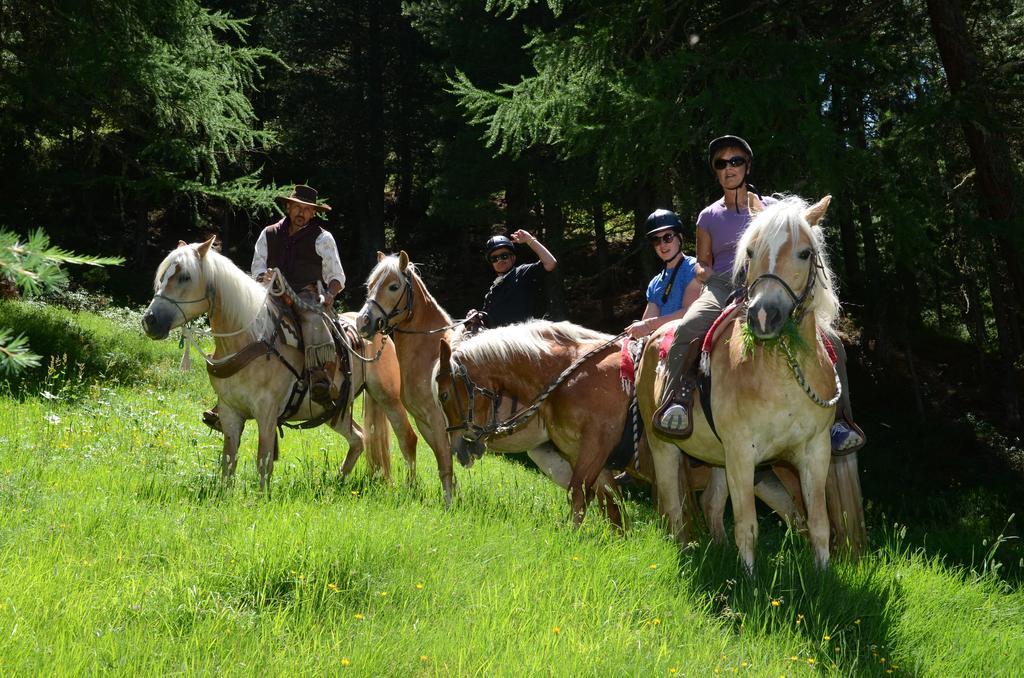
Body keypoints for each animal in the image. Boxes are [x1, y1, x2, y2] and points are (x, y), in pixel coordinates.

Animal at [142, 236, 417, 491]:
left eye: (185, 277)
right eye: (163, 275)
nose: (150, 321)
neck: (250, 338)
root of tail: (376, 334)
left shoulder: (267, 413)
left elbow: (263, 460)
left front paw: (262, 498)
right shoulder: (230, 412)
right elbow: (228, 461)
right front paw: (225, 495)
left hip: (387, 397)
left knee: (407, 437)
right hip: (333, 411)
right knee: (359, 438)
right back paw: (336, 482)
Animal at [434, 321, 626, 528]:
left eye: (444, 395)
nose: (458, 450)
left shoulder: (595, 447)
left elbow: (580, 496)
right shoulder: (582, 452)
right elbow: (611, 504)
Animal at [638, 196, 864, 573]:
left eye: (805, 253)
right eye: (751, 251)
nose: (763, 316)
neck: (780, 373)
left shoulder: (814, 451)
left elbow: (818, 522)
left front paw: (824, 574)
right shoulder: (743, 454)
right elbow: (747, 525)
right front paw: (750, 580)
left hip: (717, 457)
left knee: (711, 503)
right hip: (665, 448)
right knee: (674, 509)